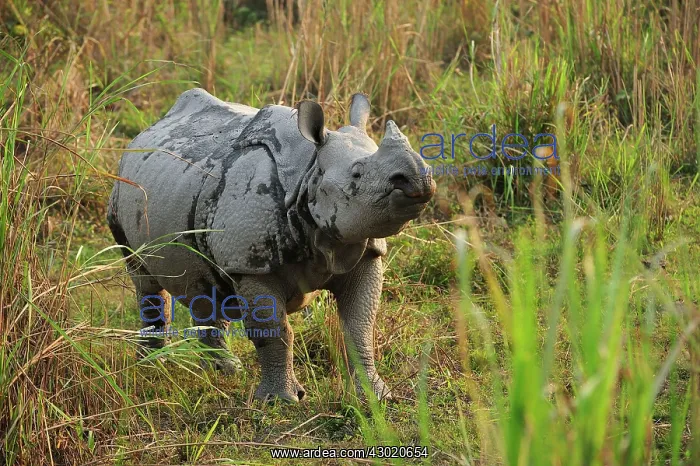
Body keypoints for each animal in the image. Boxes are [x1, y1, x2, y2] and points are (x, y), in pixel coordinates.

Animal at [107, 88, 435, 402]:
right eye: (357, 173)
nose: (418, 179)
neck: (309, 171)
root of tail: (147, 130)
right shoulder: (251, 262)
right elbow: (275, 332)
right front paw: (282, 401)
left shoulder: (363, 250)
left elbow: (360, 328)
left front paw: (376, 397)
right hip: (122, 189)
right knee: (144, 277)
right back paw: (151, 365)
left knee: (204, 287)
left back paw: (222, 370)